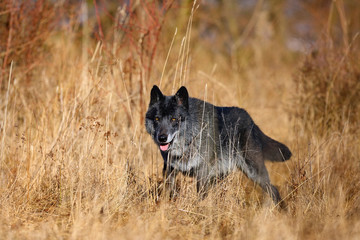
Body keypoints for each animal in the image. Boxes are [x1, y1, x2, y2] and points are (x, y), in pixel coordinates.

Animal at [144, 85, 292, 205]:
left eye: (174, 119)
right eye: (157, 118)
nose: (162, 138)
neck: (189, 141)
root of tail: (251, 120)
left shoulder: (202, 173)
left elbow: (200, 198)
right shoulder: (169, 169)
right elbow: (168, 193)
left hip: (254, 172)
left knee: (274, 190)